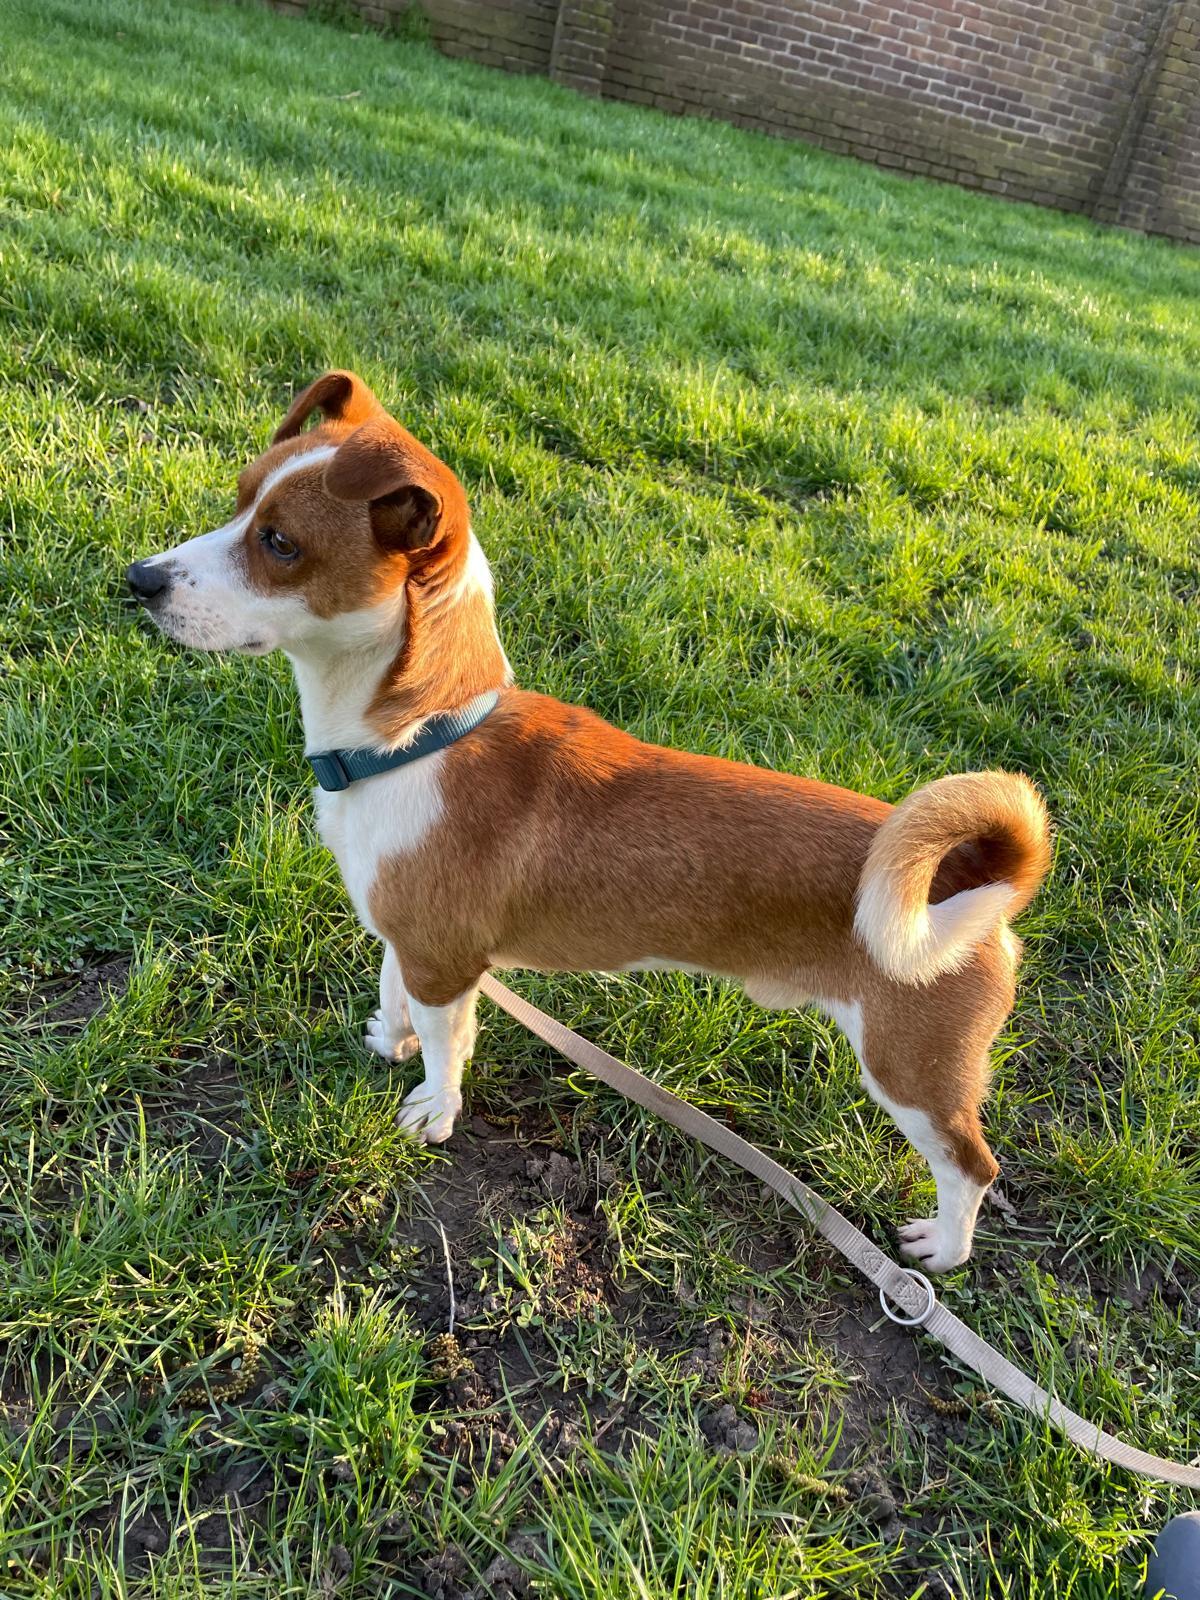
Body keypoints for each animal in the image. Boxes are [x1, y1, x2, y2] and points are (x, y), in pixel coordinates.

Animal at [128, 370, 1050, 1274]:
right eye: (238, 501)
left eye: (280, 544)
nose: (140, 580)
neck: (415, 737)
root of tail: (977, 883)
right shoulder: (409, 939)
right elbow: (397, 996)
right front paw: (390, 1039)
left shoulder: (445, 962)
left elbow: (447, 1044)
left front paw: (434, 1106)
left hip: (910, 1072)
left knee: (972, 1166)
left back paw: (943, 1253)